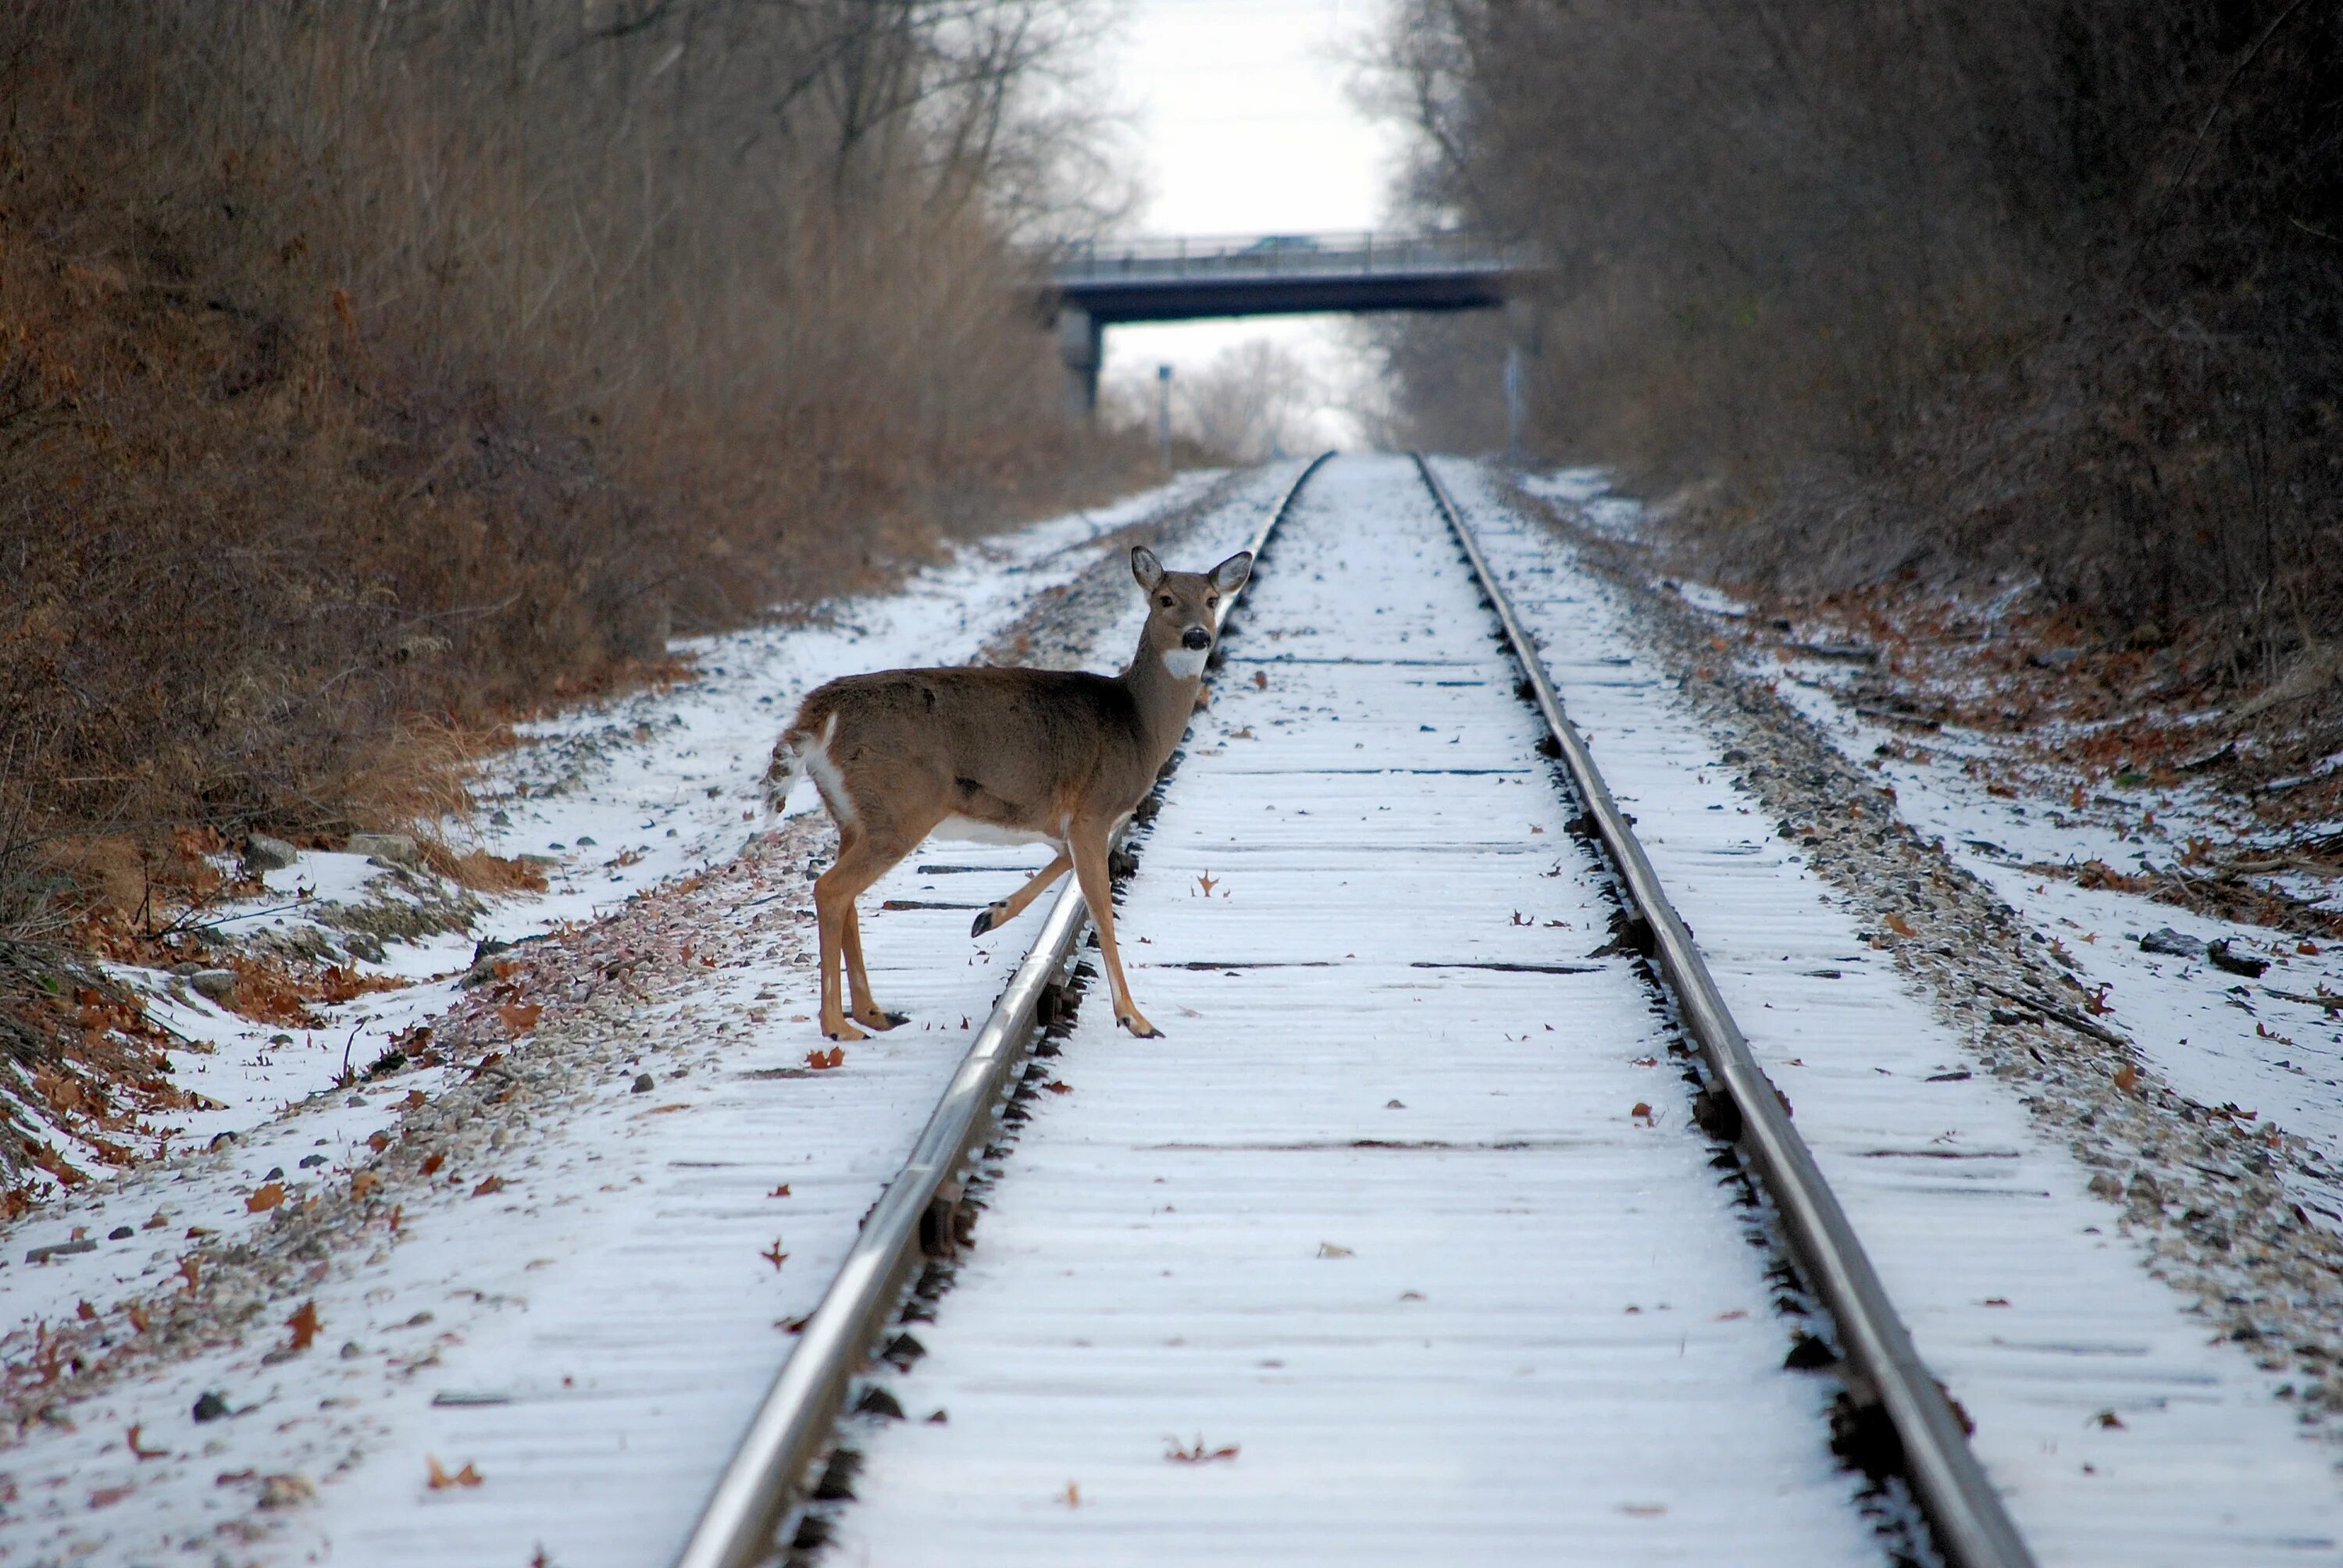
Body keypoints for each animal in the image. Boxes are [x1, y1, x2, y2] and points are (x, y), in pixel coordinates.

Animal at [769, 543, 1256, 1045]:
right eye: (1164, 598)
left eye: (1212, 599)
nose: (1197, 636)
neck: (1139, 724)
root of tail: (820, 714)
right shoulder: (1094, 809)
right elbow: (1100, 907)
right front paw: (1134, 1017)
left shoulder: (1065, 821)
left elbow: (1063, 867)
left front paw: (988, 917)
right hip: (899, 808)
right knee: (831, 889)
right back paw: (837, 1025)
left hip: (853, 815)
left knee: (845, 896)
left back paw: (873, 1013)